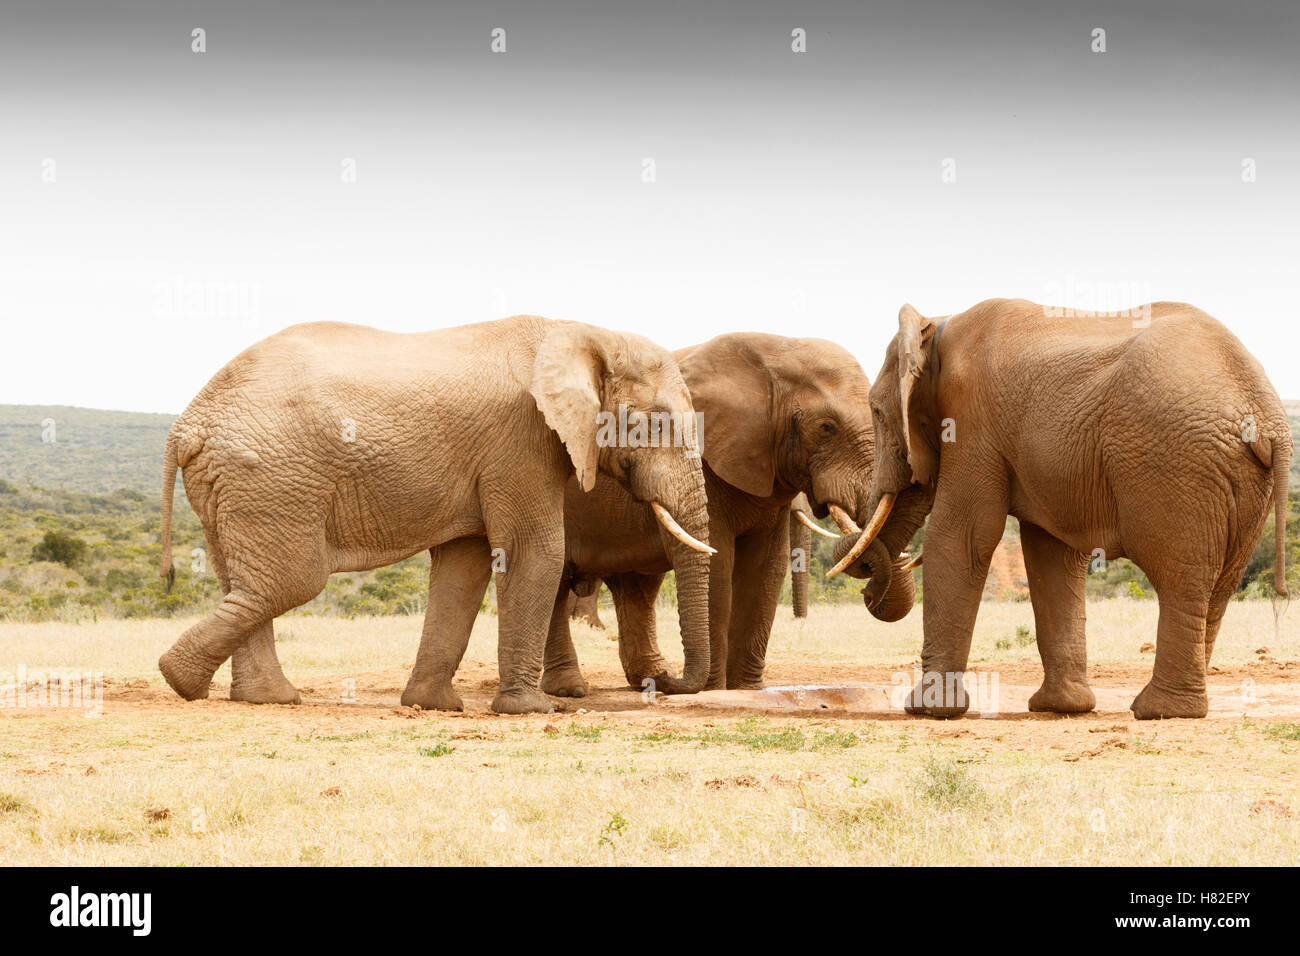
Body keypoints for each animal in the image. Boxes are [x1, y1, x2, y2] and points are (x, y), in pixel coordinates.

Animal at [156, 315, 714, 714]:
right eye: (656, 424)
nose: (665, 682)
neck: (585, 332)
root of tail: (187, 425)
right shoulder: (521, 438)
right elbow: (533, 550)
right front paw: (533, 710)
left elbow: (464, 565)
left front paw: (433, 705)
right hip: (271, 476)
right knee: (289, 580)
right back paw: (181, 679)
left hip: (232, 483)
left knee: (243, 583)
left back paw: (261, 697)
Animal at [532, 332, 916, 697]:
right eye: (826, 428)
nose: (869, 595)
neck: (775, 352)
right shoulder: (707, 464)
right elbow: (718, 561)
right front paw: (714, 688)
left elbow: (767, 567)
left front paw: (746, 689)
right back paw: (572, 688)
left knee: (637, 589)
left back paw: (649, 678)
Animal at [830, 298, 1291, 720]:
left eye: (876, 411)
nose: (870, 593)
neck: (939, 326)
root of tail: (1268, 415)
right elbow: (1051, 555)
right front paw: (1061, 708)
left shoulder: (973, 421)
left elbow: (961, 537)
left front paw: (928, 710)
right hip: (1237, 480)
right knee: (1220, 587)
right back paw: (1179, 707)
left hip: (1176, 465)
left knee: (1181, 578)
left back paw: (1160, 711)